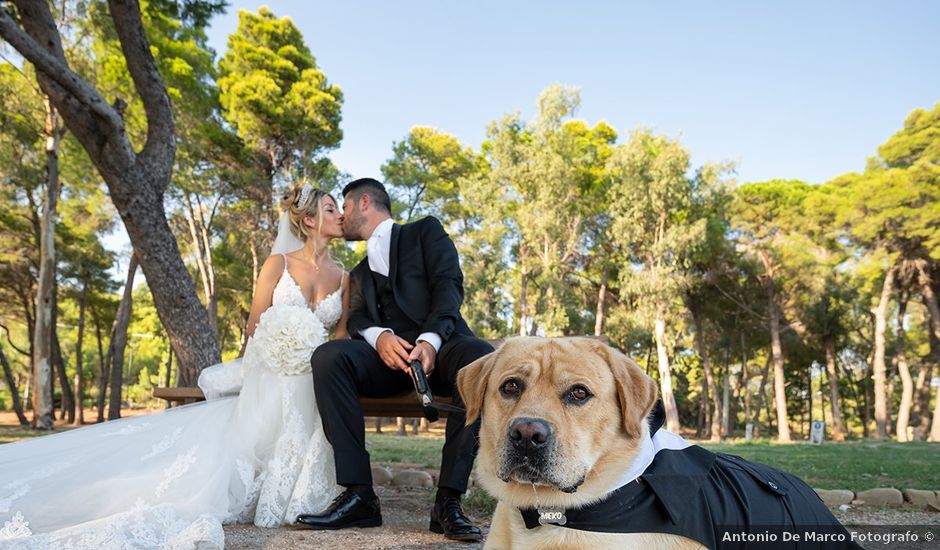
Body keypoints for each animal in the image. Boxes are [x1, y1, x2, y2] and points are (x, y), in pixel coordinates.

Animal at [298, 178, 492, 544]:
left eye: (343, 204)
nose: (341, 216)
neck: (378, 237)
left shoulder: (433, 237)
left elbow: (445, 282)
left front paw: (422, 349)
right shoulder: (356, 286)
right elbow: (363, 318)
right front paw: (388, 343)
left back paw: (451, 516)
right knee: (329, 360)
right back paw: (353, 507)